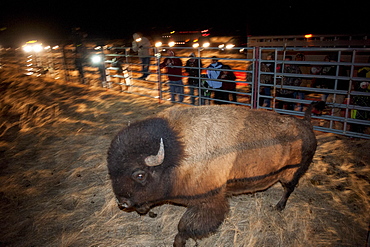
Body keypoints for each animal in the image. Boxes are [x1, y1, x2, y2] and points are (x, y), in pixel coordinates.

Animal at [107, 105, 318, 246]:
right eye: (112, 170)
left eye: (140, 175)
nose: (122, 202)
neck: (176, 155)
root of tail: (306, 126)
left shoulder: (209, 200)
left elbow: (184, 226)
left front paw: (179, 242)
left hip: (291, 173)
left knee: (288, 189)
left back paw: (279, 207)